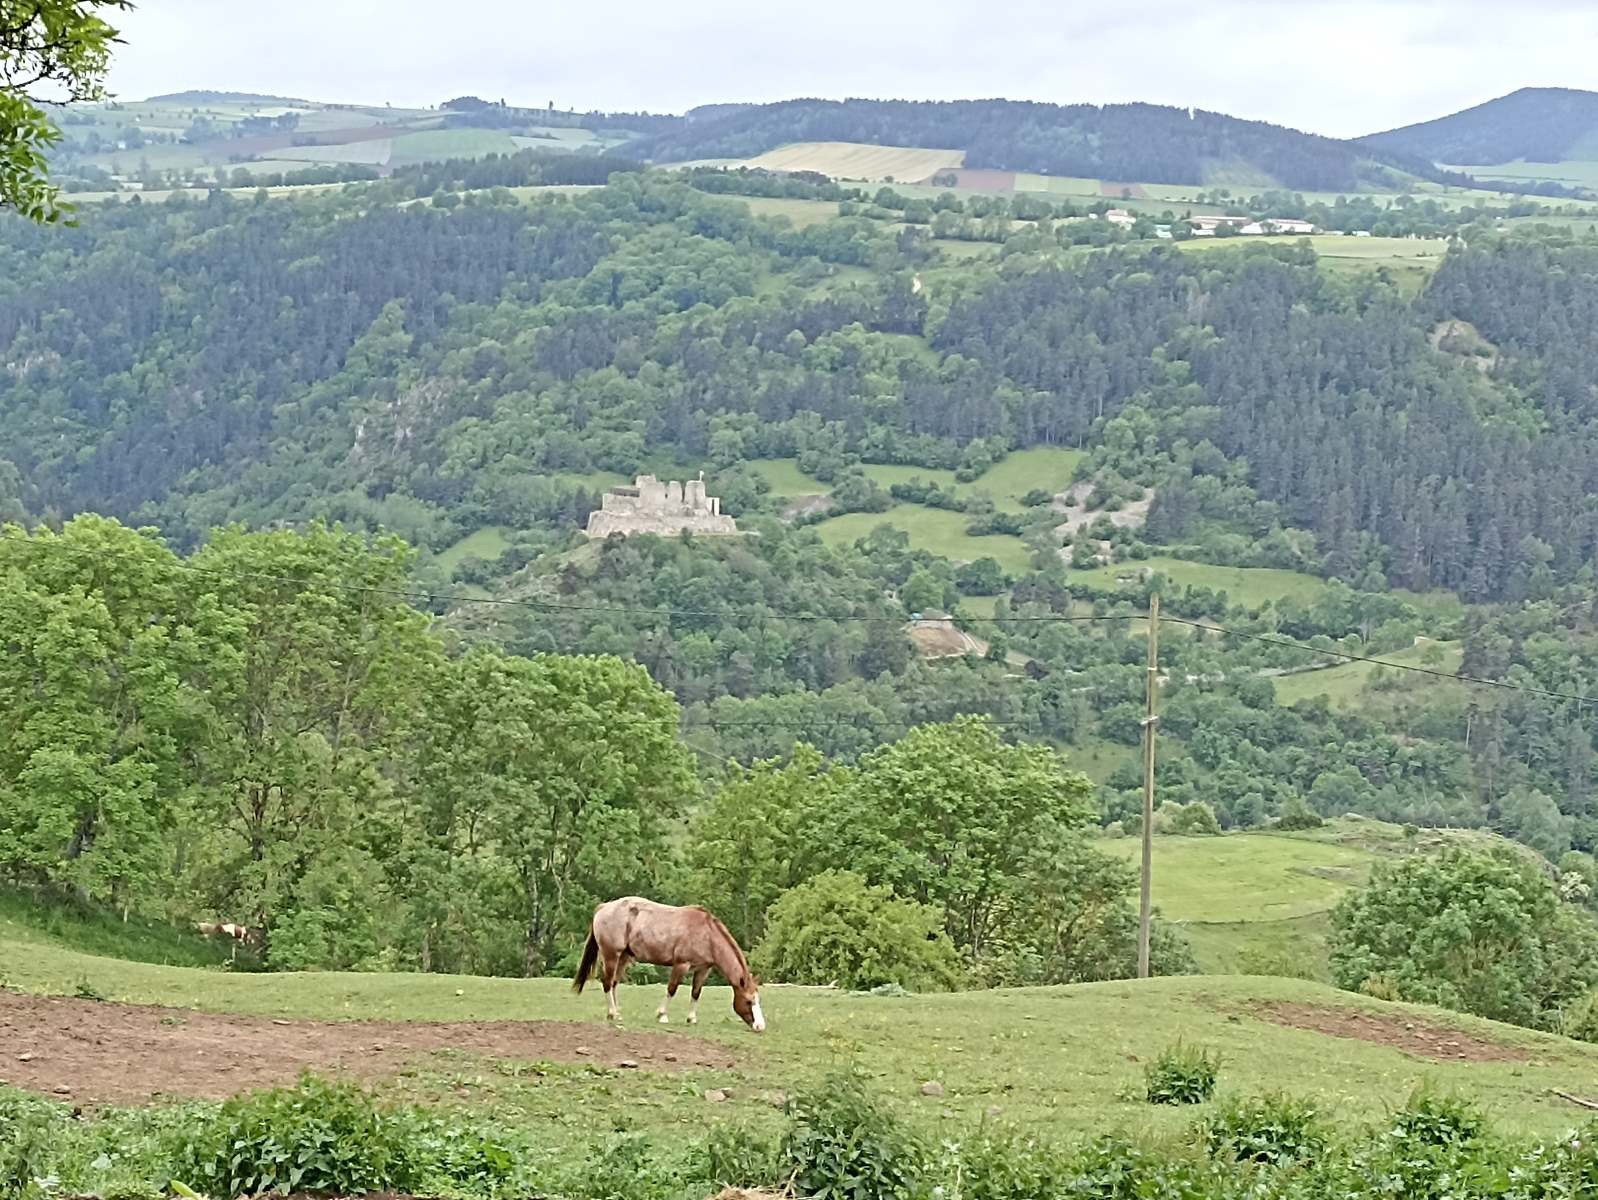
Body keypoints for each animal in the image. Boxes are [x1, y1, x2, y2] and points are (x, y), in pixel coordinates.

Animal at [575, 901, 767, 1035]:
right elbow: (672, 989)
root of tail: (604, 907)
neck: (707, 934)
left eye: (758, 1000)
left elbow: (696, 993)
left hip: (623, 957)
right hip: (611, 956)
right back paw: (612, 1013)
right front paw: (662, 1015)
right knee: (607, 982)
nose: (760, 1026)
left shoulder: (703, 969)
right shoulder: (681, 965)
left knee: (614, 983)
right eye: (748, 1001)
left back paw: (617, 1014)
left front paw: (691, 1019)